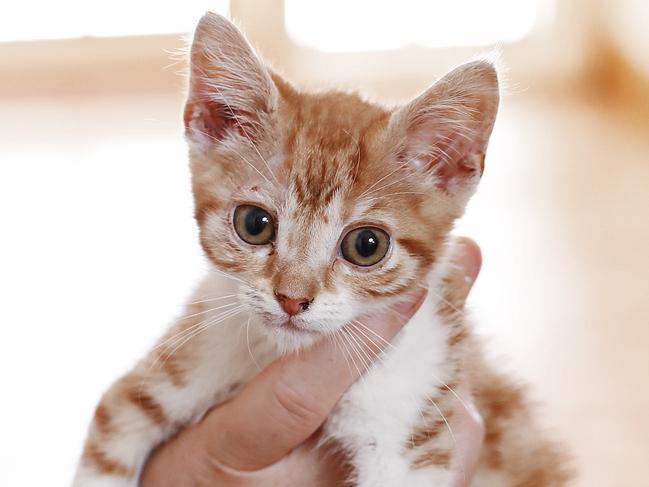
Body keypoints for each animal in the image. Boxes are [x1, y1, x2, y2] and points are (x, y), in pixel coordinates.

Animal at [72, 13, 568, 486]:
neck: (278, 353)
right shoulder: (176, 364)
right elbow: (111, 429)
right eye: (253, 224)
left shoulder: (413, 402)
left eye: (367, 246)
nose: (292, 299)